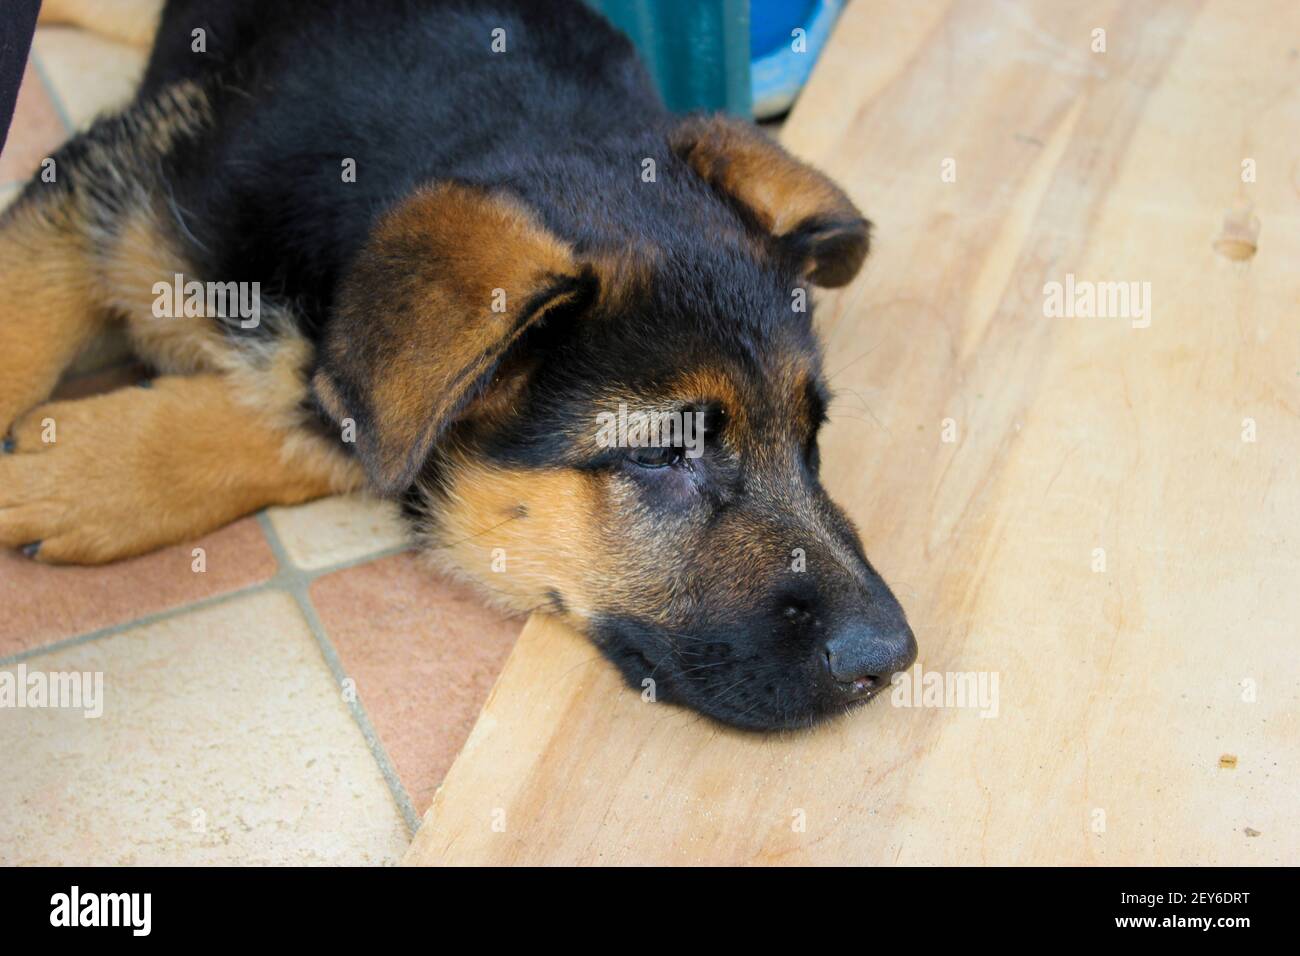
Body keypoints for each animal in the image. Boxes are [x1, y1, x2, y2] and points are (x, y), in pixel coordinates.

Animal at [0, 1, 915, 733]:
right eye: (663, 453)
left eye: (811, 439)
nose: (892, 657)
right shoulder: (106, 186)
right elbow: (24, 310)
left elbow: (330, 410)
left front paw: (82, 471)